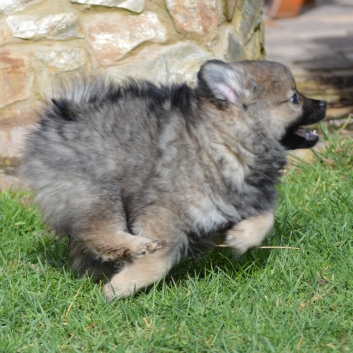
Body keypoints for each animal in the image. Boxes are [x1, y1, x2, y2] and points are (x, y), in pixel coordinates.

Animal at [21, 59, 324, 298]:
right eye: (294, 98)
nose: (323, 103)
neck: (225, 142)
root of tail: (58, 119)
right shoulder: (163, 215)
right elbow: (160, 260)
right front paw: (121, 287)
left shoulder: (242, 202)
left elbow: (266, 218)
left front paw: (240, 238)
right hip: (96, 192)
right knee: (97, 232)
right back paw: (136, 247)